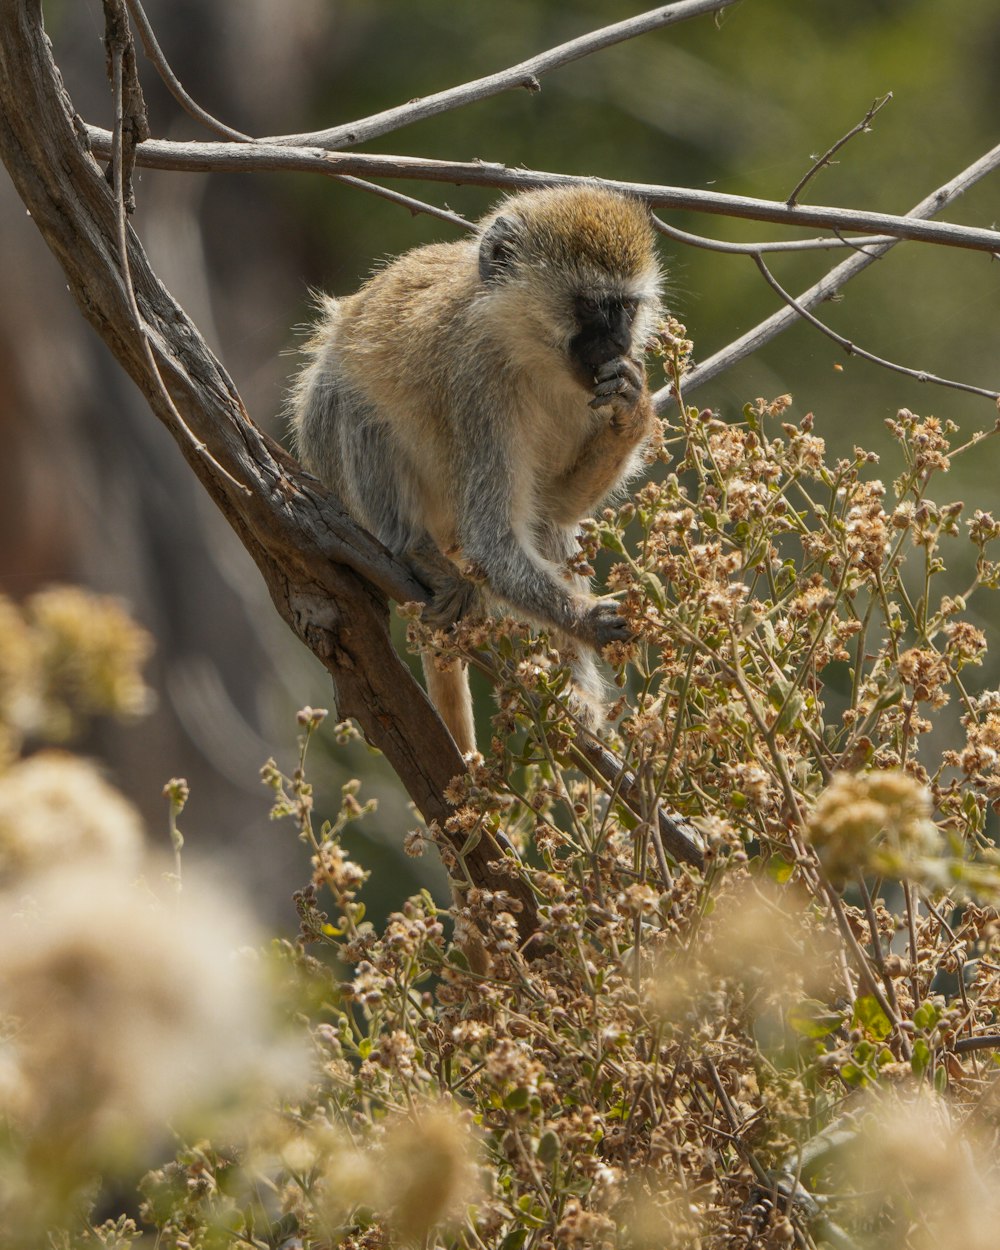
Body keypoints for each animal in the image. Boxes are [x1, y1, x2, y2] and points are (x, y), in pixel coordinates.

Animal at [288, 183, 665, 750]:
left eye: (625, 308)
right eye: (590, 306)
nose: (621, 342)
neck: (528, 350)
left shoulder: (588, 388)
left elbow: (555, 506)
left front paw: (634, 407)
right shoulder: (476, 381)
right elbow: (491, 538)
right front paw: (588, 622)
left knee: (548, 525)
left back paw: (575, 696)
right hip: (330, 454)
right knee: (353, 407)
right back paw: (413, 551)